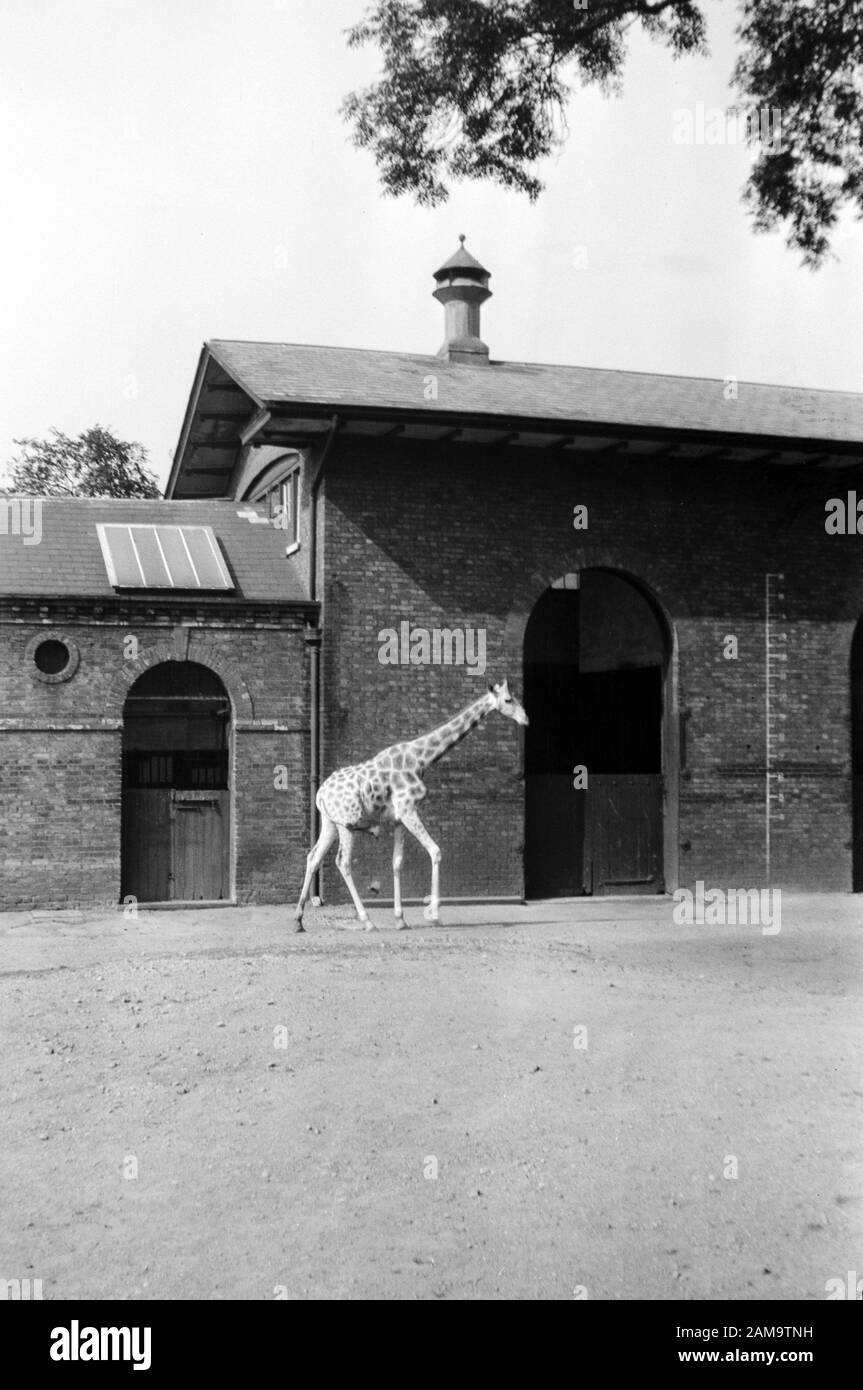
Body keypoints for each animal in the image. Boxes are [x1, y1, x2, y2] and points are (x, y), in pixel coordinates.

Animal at [293, 681, 528, 934]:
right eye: (508, 700)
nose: (526, 719)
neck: (421, 759)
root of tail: (319, 794)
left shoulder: (399, 819)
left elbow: (397, 863)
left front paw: (400, 919)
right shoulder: (408, 810)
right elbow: (435, 851)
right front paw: (433, 916)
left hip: (330, 823)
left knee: (313, 857)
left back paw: (298, 921)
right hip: (347, 824)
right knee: (343, 863)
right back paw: (367, 921)